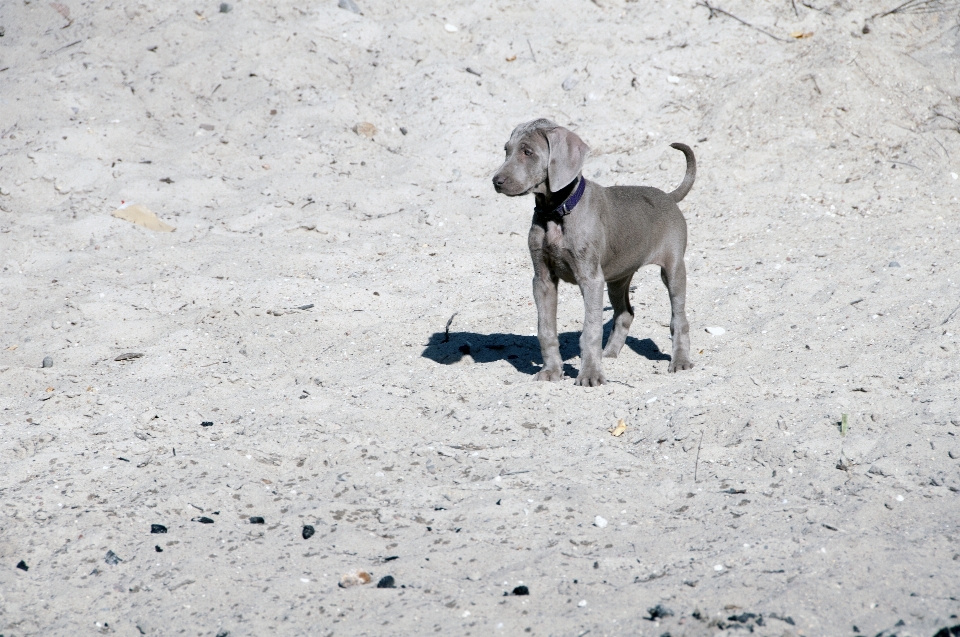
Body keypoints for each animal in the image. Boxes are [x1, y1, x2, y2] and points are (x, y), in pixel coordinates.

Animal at [492, 119, 692, 388]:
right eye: (507, 150)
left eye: (527, 152)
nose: (497, 181)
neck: (556, 212)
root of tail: (668, 196)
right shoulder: (542, 280)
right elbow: (546, 329)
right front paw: (551, 371)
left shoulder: (590, 279)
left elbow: (590, 330)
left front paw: (590, 375)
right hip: (618, 277)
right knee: (625, 313)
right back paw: (609, 354)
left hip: (673, 267)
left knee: (678, 318)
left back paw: (680, 361)